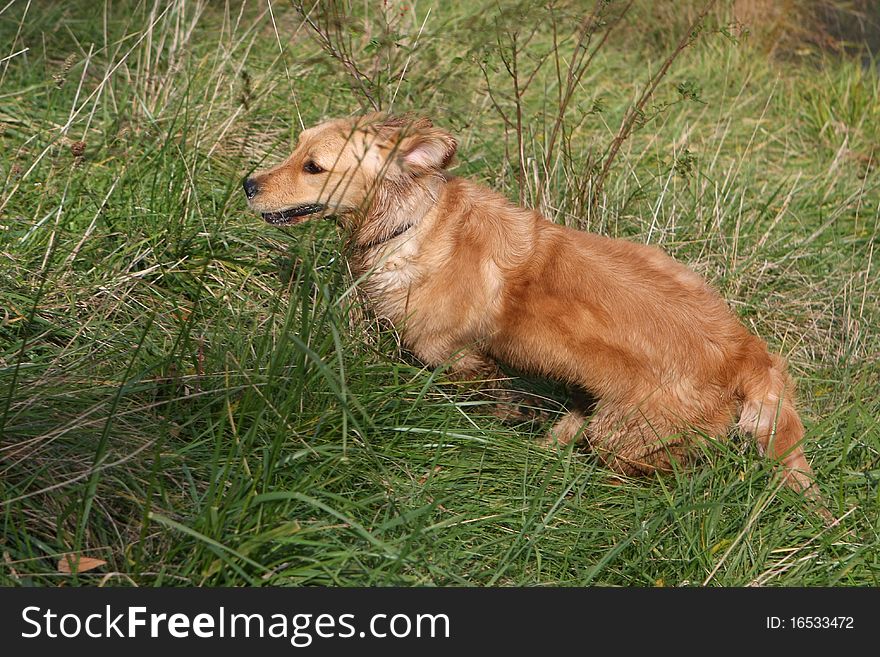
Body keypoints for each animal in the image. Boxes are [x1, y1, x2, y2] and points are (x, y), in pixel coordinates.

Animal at [242, 111, 824, 512]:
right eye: (295, 146)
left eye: (313, 167)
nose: (247, 183)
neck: (413, 222)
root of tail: (750, 353)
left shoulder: (452, 357)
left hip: (626, 433)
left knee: (665, 471)